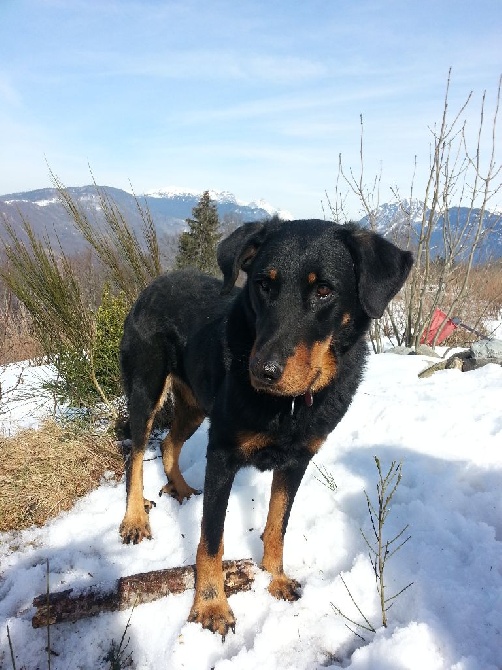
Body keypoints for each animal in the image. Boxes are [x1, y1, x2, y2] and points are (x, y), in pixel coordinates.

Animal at [119, 220, 414, 640]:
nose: (262, 371)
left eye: (324, 290)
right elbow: (211, 538)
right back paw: (134, 520)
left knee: (169, 444)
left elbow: (277, 525)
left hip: (195, 404)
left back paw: (181, 488)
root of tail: (153, 284)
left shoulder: (296, 461)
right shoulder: (222, 454)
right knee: (137, 451)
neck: (289, 404)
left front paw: (274, 578)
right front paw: (211, 604)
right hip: (146, 389)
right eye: (263, 284)